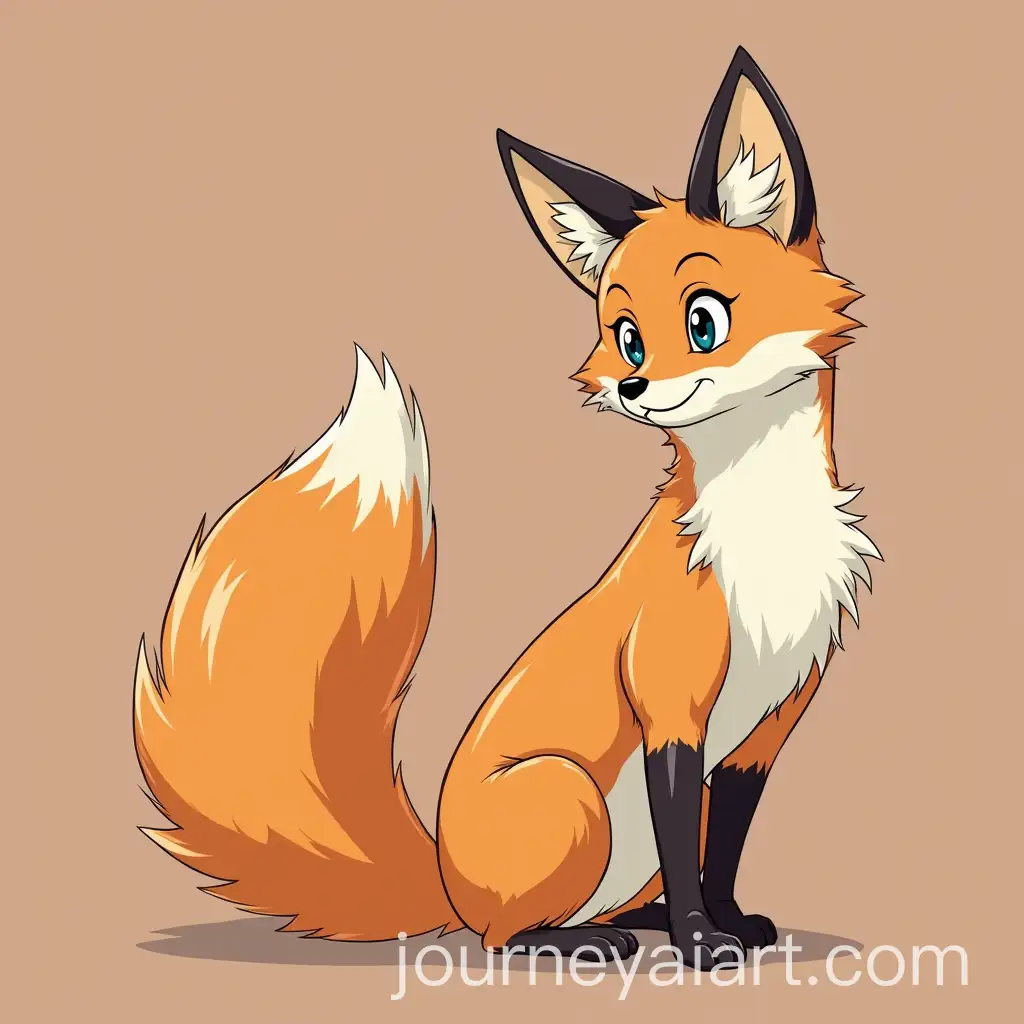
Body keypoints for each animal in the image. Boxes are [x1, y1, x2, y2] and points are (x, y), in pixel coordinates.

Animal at [133, 47, 879, 971]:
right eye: (627, 337)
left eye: (703, 322)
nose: (634, 387)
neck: (766, 534)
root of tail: (444, 878)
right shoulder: (671, 708)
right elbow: (685, 845)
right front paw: (701, 942)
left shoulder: (765, 731)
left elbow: (723, 849)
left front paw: (728, 921)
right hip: (567, 795)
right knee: (503, 933)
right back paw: (586, 941)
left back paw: (632, 921)